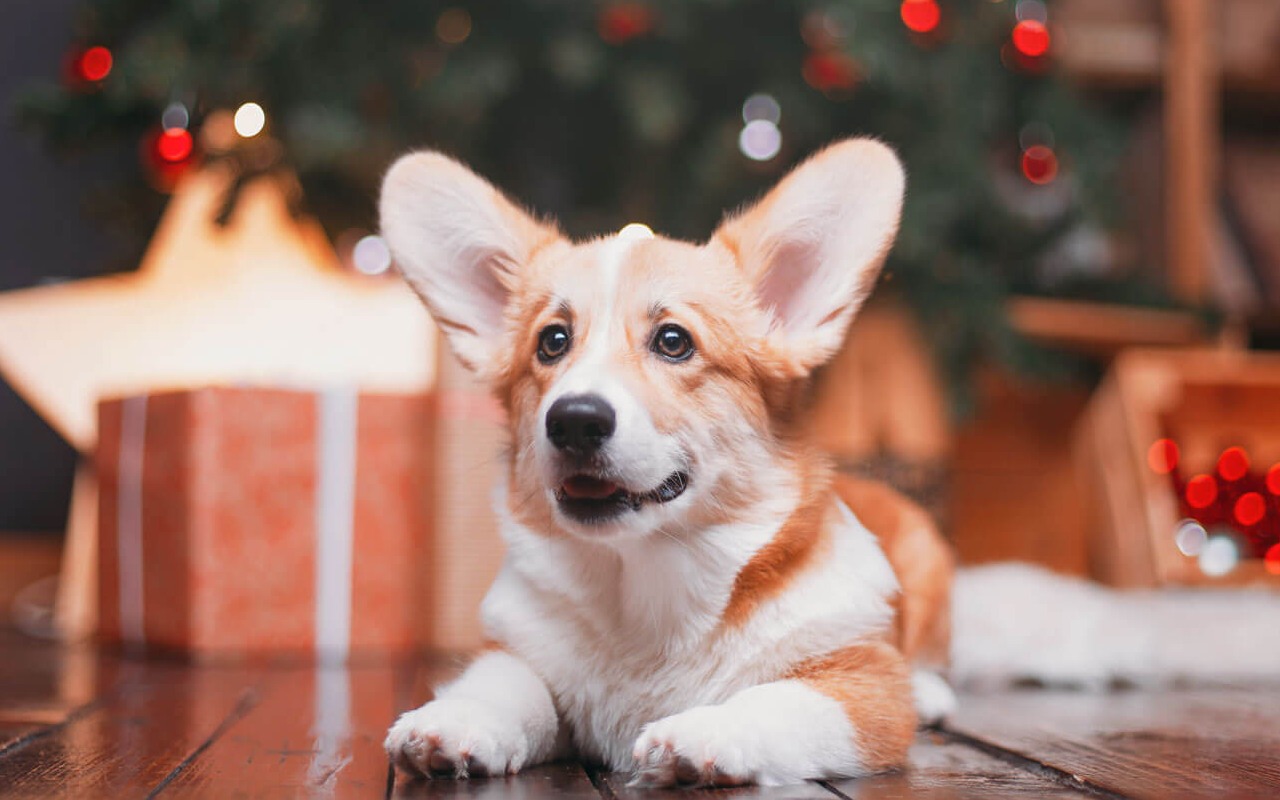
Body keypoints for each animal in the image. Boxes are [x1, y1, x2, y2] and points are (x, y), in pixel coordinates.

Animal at [373, 138, 957, 788]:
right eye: (552, 341)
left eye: (674, 341)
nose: (574, 420)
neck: (644, 587)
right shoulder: (515, 652)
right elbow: (506, 686)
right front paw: (453, 723)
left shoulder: (862, 686)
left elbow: (775, 699)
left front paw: (704, 732)